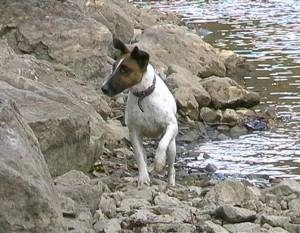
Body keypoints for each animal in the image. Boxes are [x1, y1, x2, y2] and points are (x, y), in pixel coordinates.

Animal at [102, 39, 178, 187]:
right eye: (114, 67)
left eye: (124, 69)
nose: (103, 88)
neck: (142, 96)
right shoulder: (134, 134)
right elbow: (139, 159)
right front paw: (143, 177)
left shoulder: (172, 126)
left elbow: (161, 145)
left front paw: (159, 162)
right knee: (143, 156)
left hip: (172, 146)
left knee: (171, 166)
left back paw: (171, 181)